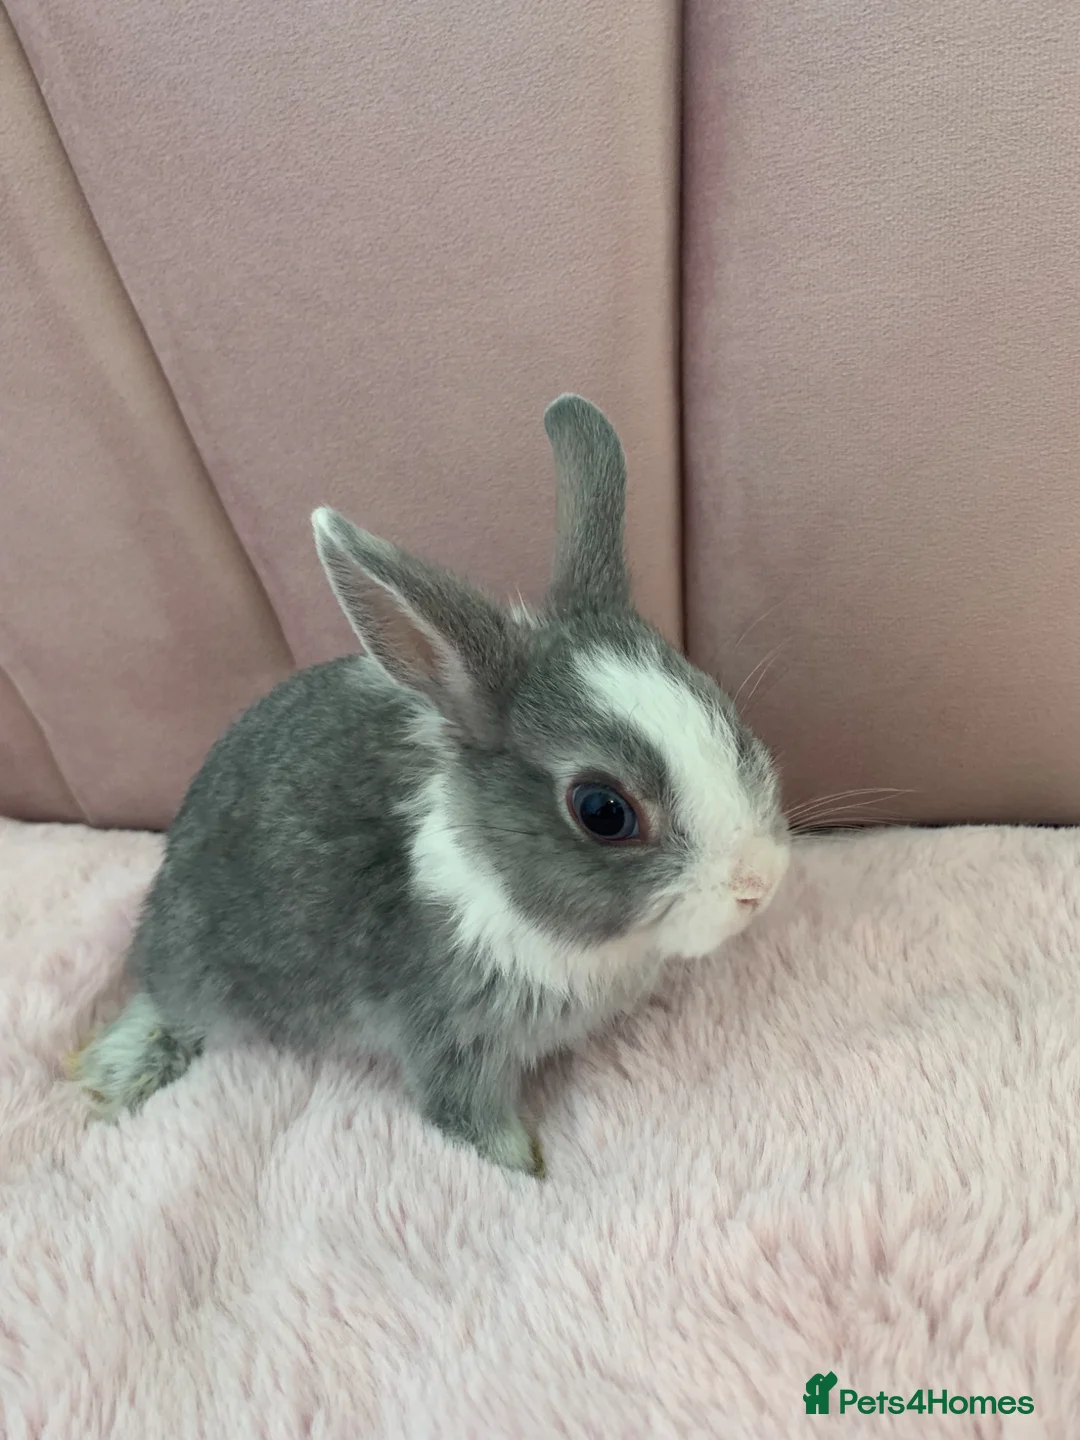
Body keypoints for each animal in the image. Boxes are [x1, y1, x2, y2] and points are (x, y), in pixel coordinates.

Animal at [68, 394, 790, 1177]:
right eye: (603, 811)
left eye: (723, 712)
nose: (760, 883)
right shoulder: (449, 1037)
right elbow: (467, 1122)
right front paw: (527, 1170)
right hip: (203, 967)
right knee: (166, 1005)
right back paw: (115, 1074)